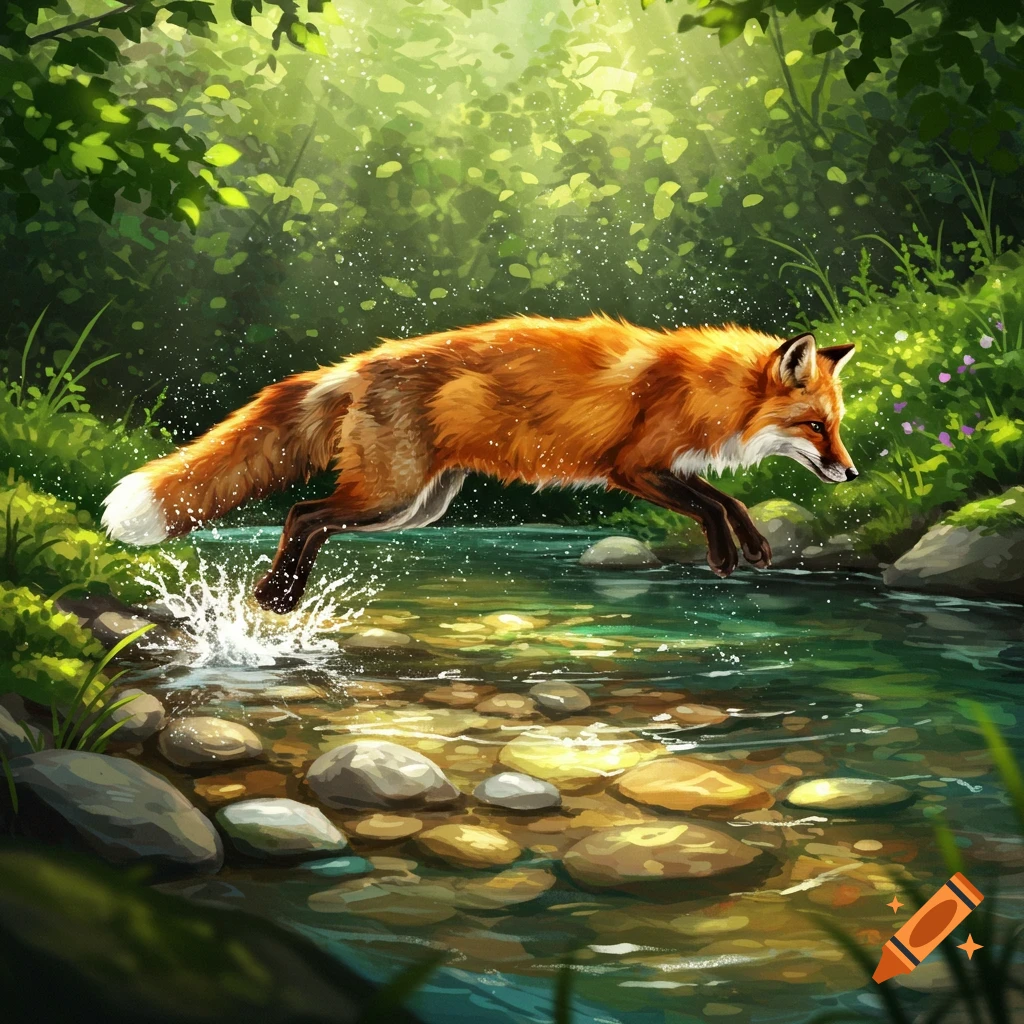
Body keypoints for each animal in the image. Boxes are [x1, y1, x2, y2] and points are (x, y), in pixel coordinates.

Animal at [101, 315, 857, 613]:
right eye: (815, 426)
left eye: (838, 427)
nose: (850, 473)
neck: (705, 389)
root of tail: (360, 362)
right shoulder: (633, 467)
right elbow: (713, 502)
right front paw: (728, 553)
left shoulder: (664, 467)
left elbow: (727, 499)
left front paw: (754, 547)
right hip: (391, 496)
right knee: (300, 510)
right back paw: (279, 594)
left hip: (412, 510)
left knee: (312, 520)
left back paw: (280, 594)